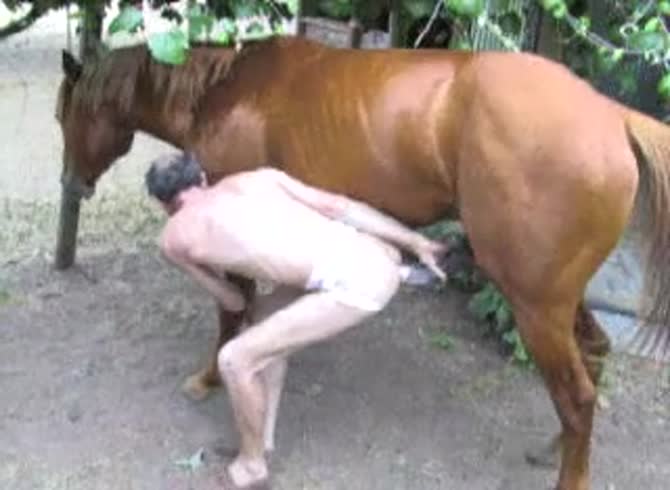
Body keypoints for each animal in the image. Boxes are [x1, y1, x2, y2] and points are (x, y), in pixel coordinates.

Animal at [55, 35, 670, 490]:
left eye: (67, 115)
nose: (71, 185)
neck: (224, 88)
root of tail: (611, 116)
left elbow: (231, 314)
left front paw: (208, 378)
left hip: (535, 304)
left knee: (576, 396)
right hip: (555, 299)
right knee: (591, 360)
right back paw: (554, 448)